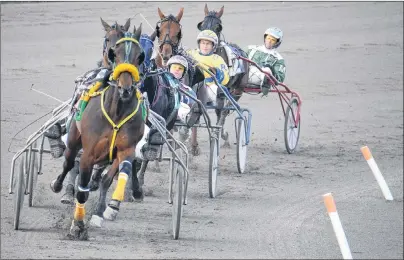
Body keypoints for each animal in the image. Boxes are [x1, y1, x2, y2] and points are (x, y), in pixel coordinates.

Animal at [49, 24, 146, 240]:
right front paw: (77, 226)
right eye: (115, 53)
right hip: (74, 140)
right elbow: (81, 189)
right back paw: (58, 185)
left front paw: (107, 209)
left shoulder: (126, 149)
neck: (116, 112)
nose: (126, 89)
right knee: (69, 163)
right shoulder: (89, 153)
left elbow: (118, 175)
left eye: (139, 56)